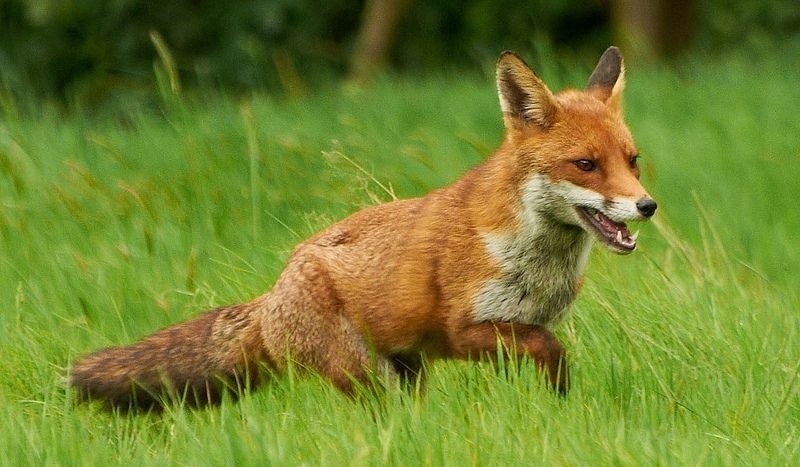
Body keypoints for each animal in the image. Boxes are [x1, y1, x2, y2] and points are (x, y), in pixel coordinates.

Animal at [69, 47, 656, 412]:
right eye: (585, 165)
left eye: (632, 161)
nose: (646, 205)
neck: (534, 257)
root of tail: (272, 294)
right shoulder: (463, 331)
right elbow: (550, 349)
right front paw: (561, 399)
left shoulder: (516, 327)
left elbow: (546, 360)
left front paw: (555, 408)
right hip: (367, 375)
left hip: (407, 370)